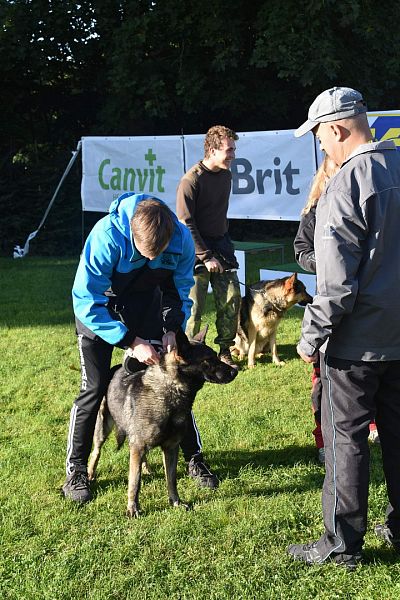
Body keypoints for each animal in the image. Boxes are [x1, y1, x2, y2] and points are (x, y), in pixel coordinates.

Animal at [86, 326, 238, 516]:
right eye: (208, 360)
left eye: (216, 357)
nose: (235, 371)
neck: (169, 392)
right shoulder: (138, 446)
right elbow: (134, 482)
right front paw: (133, 508)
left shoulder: (170, 448)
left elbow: (171, 480)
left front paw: (176, 502)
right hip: (103, 428)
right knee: (96, 452)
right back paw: (89, 475)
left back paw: (146, 468)